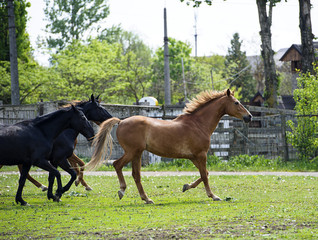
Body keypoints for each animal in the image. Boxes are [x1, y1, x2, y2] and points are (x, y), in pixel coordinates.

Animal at [85, 89, 252, 203]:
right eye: (236, 103)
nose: (249, 117)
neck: (198, 124)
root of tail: (121, 121)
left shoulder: (194, 157)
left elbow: (205, 173)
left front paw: (186, 186)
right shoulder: (201, 155)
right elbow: (205, 175)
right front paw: (213, 196)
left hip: (137, 154)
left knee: (135, 174)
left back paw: (146, 199)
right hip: (132, 152)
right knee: (117, 164)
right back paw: (122, 191)